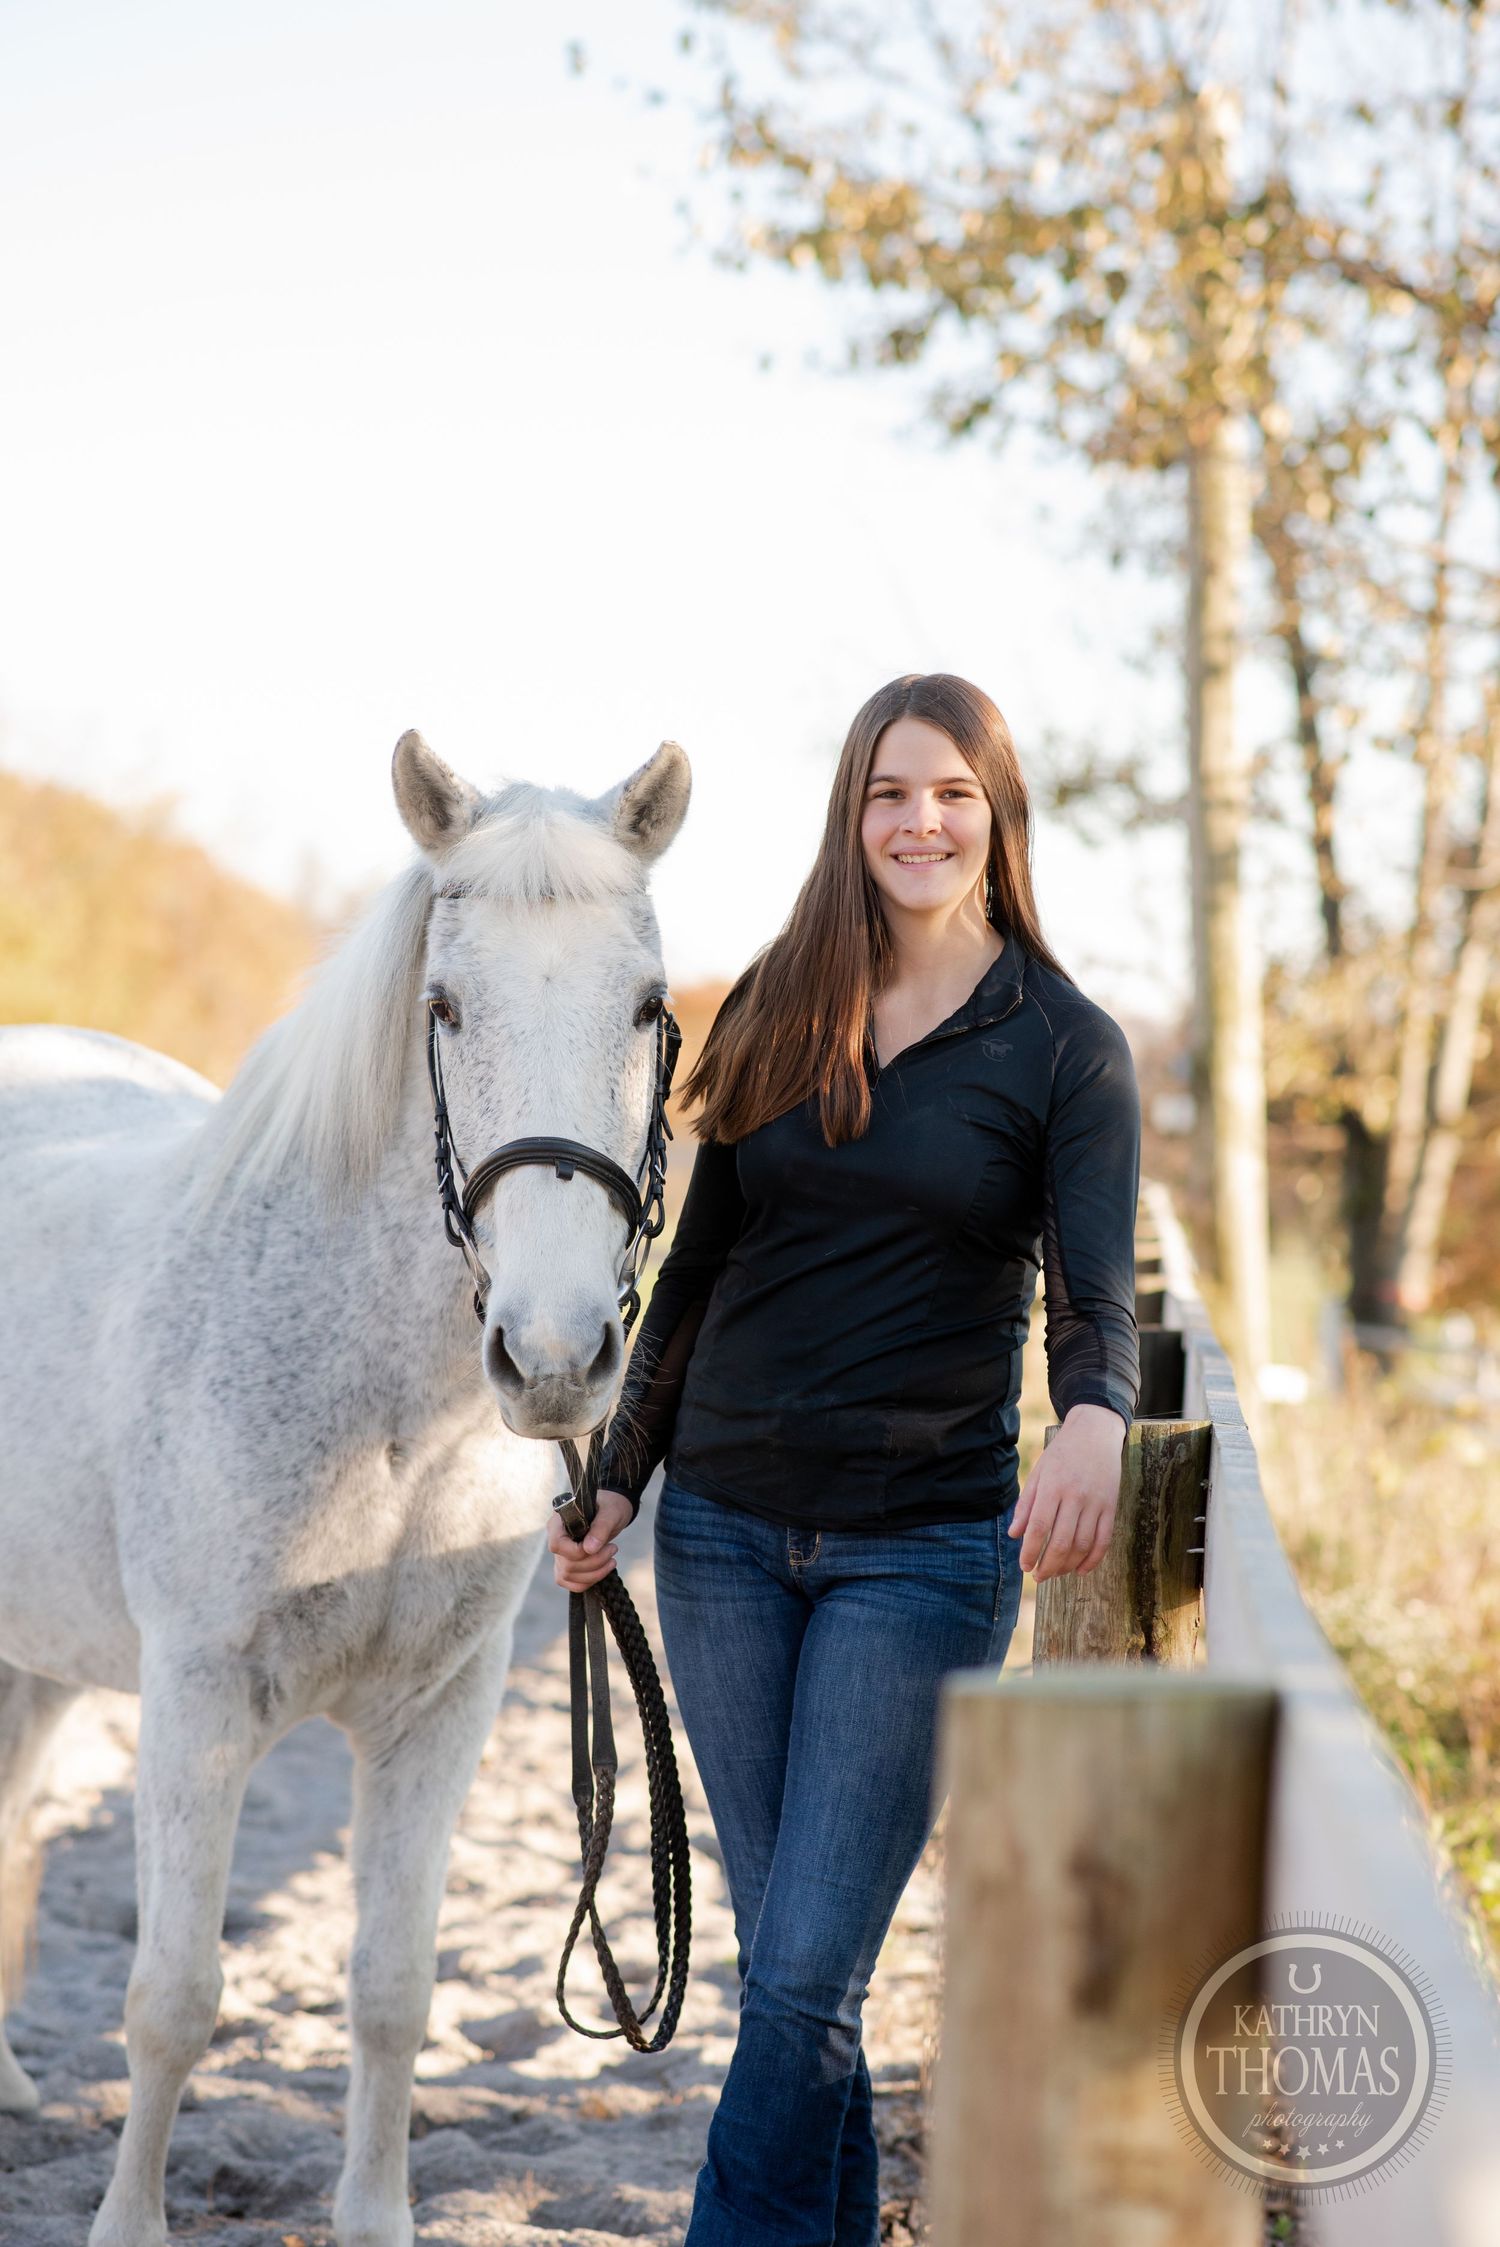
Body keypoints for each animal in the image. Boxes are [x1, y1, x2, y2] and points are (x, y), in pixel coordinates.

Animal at [0, 728, 691, 2247]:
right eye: (445, 1005)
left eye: (647, 1008)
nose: (556, 1358)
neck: (388, 1425)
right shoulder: (198, 1703)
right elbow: (174, 1997)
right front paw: (128, 2221)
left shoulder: (438, 1713)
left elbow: (390, 1987)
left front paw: (375, 2216)